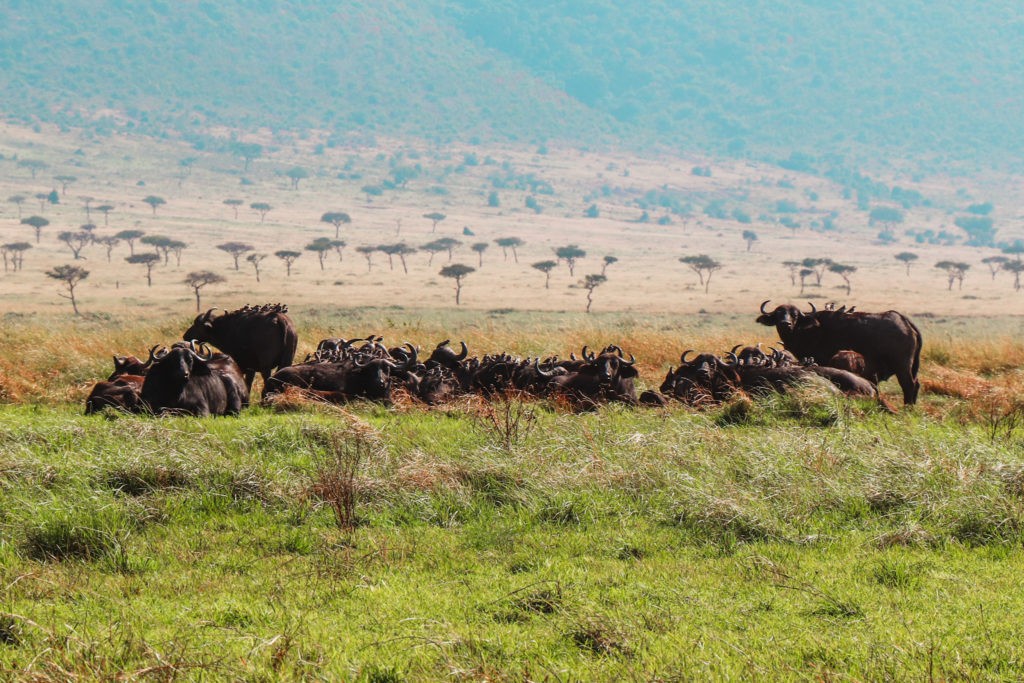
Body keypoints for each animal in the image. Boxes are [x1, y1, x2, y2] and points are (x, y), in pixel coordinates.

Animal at [757, 301, 925, 405]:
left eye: (795, 315)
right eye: (778, 314)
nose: (785, 324)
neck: (809, 331)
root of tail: (905, 322)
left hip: (902, 365)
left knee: (909, 385)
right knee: (916, 384)